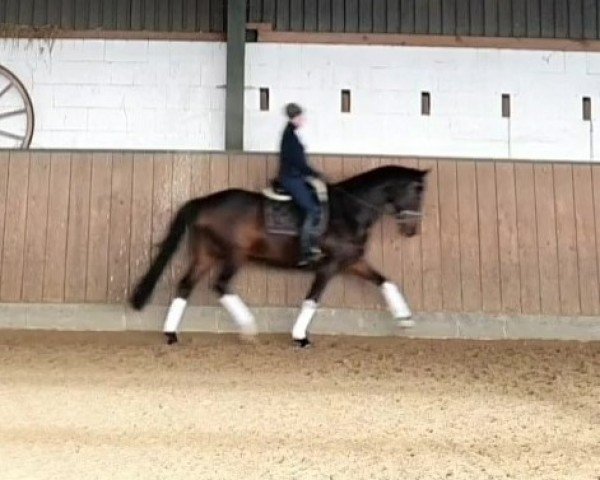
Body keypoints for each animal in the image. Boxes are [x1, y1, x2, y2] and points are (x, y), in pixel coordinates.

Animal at [129, 164, 426, 344]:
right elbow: (312, 298)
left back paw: (171, 334)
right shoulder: (330, 265)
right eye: (417, 192)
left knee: (185, 285)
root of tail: (203, 202)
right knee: (221, 285)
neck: (349, 210)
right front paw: (300, 336)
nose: (412, 230)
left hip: (206, 255)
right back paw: (248, 327)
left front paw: (405, 319)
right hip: (235, 255)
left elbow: (385, 282)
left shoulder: (352, 261)